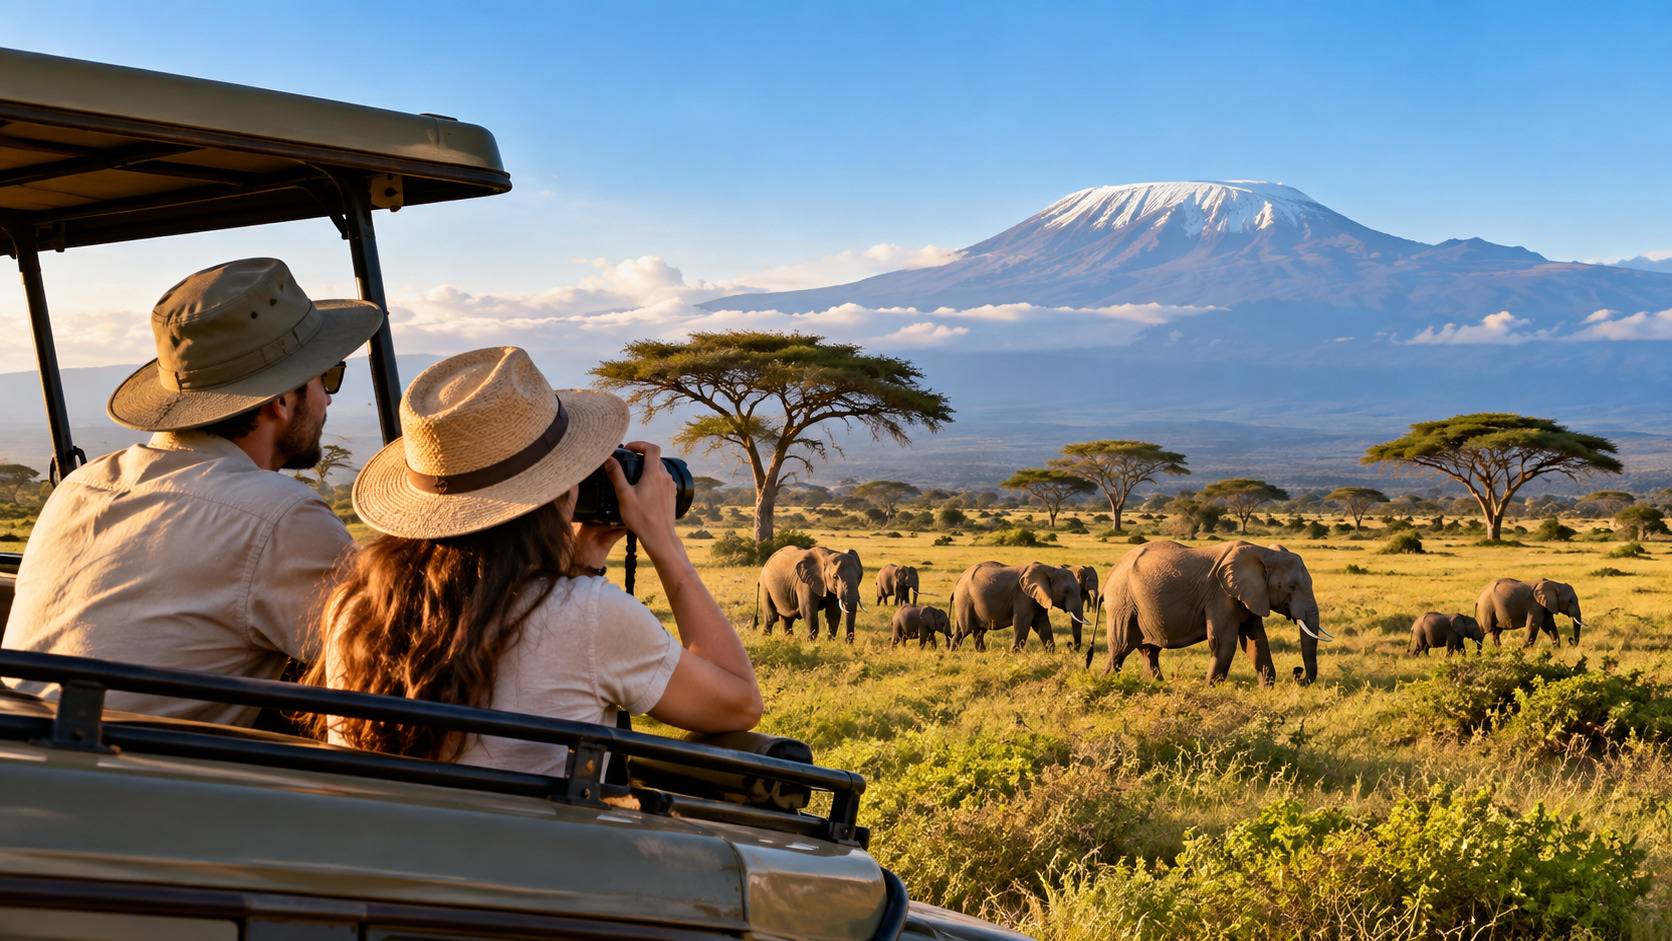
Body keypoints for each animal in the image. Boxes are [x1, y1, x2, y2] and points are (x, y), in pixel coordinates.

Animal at [951, 561, 1086, 652]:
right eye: (1066, 591)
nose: (1070, 645)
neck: (1049, 569)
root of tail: (959, 579)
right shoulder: (1023, 596)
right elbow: (1022, 624)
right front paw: (1013, 654)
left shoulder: (1037, 598)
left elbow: (1043, 626)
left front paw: (1051, 654)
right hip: (964, 600)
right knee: (965, 630)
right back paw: (954, 655)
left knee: (976, 632)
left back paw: (978, 653)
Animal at [1090, 540, 1327, 686]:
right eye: (1291, 587)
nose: (1297, 673)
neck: (1263, 552)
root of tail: (1110, 575)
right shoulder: (1220, 594)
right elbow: (1225, 642)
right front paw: (1210, 688)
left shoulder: (1251, 596)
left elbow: (1256, 641)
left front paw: (1266, 691)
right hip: (1122, 603)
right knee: (1120, 648)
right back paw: (1106, 681)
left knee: (1149, 650)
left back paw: (1158, 685)